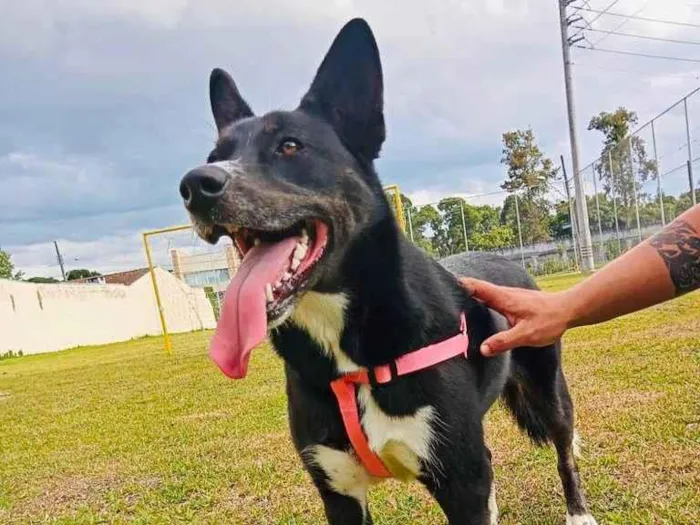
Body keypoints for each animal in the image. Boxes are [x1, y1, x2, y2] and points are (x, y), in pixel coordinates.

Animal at [179, 17, 596, 524]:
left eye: (290, 146)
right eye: (214, 155)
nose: (195, 185)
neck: (347, 346)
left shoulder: (463, 478)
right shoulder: (339, 490)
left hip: (548, 387)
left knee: (565, 449)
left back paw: (578, 511)